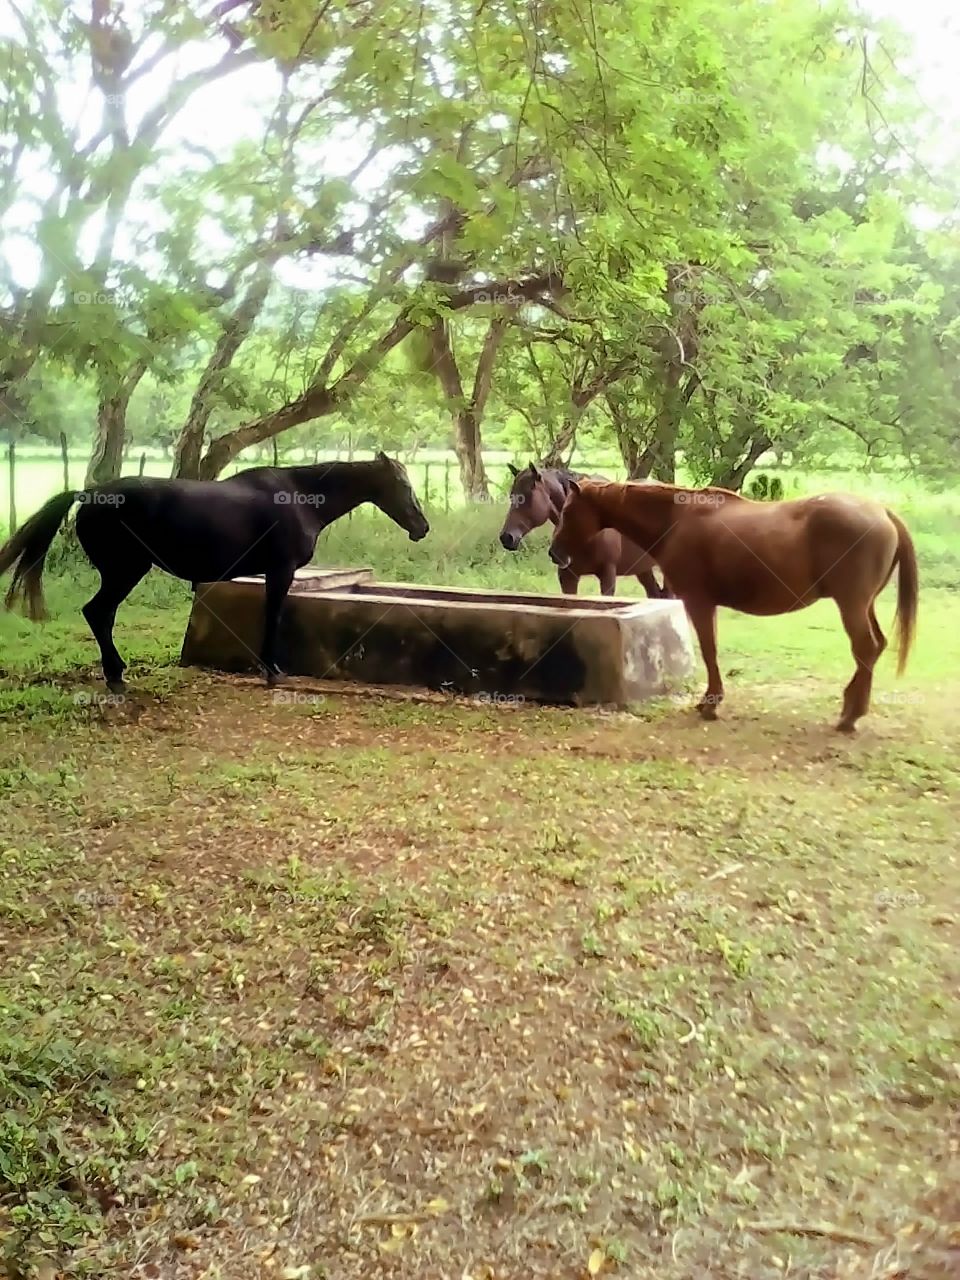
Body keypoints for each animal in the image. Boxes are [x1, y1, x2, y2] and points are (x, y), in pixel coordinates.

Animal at [0, 450, 427, 691]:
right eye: (402, 486)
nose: (422, 527)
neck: (300, 497)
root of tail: (89, 495)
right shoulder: (280, 571)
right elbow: (273, 617)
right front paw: (272, 671)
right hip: (125, 572)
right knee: (98, 613)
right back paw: (116, 676)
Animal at [504, 463, 670, 596]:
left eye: (526, 496)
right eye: (511, 496)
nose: (506, 537)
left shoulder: (607, 576)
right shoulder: (567, 579)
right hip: (643, 570)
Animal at [547, 478, 916, 732]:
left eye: (567, 511)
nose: (554, 553)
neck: (677, 520)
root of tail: (883, 513)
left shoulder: (698, 601)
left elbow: (709, 650)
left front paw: (710, 704)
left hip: (851, 604)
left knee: (865, 648)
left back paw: (849, 717)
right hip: (864, 604)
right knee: (875, 646)